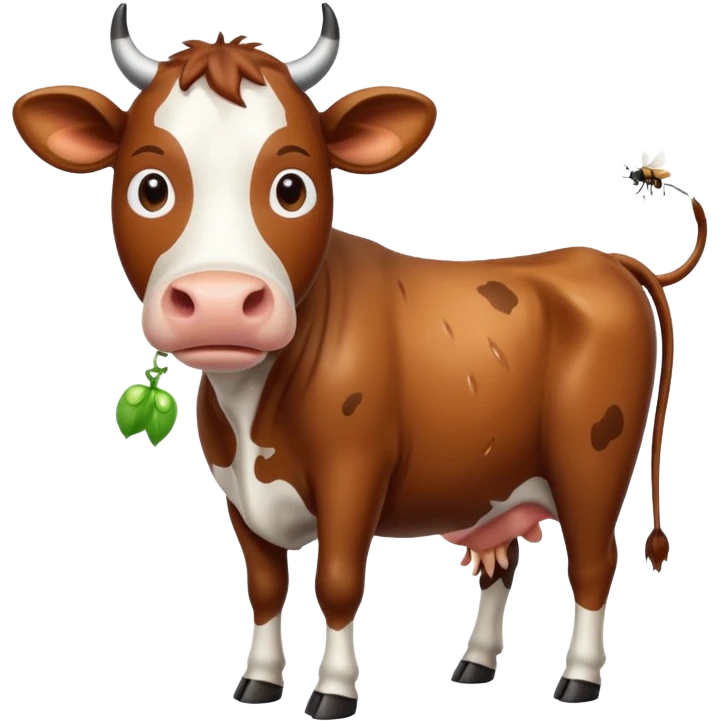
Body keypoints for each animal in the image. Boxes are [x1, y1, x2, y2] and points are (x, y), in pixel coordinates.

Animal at [12, 2, 708, 716]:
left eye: (293, 187)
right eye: (150, 187)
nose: (220, 302)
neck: (253, 409)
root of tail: (601, 259)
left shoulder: (355, 471)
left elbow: (339, 582)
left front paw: (333, 690)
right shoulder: (236, 490)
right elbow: (266, 586)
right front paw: (259, 681)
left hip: (593, 462)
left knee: (593, 562)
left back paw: (579, 678)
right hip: (499, 478)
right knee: (501, 562)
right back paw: (475, 664)